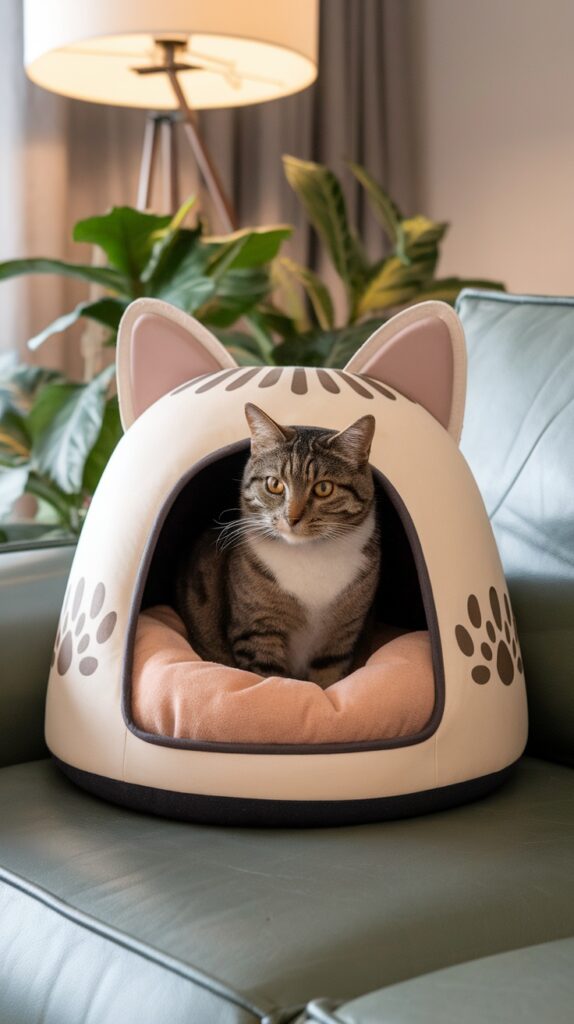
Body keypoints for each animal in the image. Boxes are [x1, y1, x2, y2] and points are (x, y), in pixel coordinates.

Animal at [175, 401, 380, 688]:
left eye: (324, 488)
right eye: (274, 484)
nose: (292, 517)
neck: (309, 554)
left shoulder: (340, 638)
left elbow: (327, 678)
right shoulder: (258, 630)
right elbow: (270, 679)